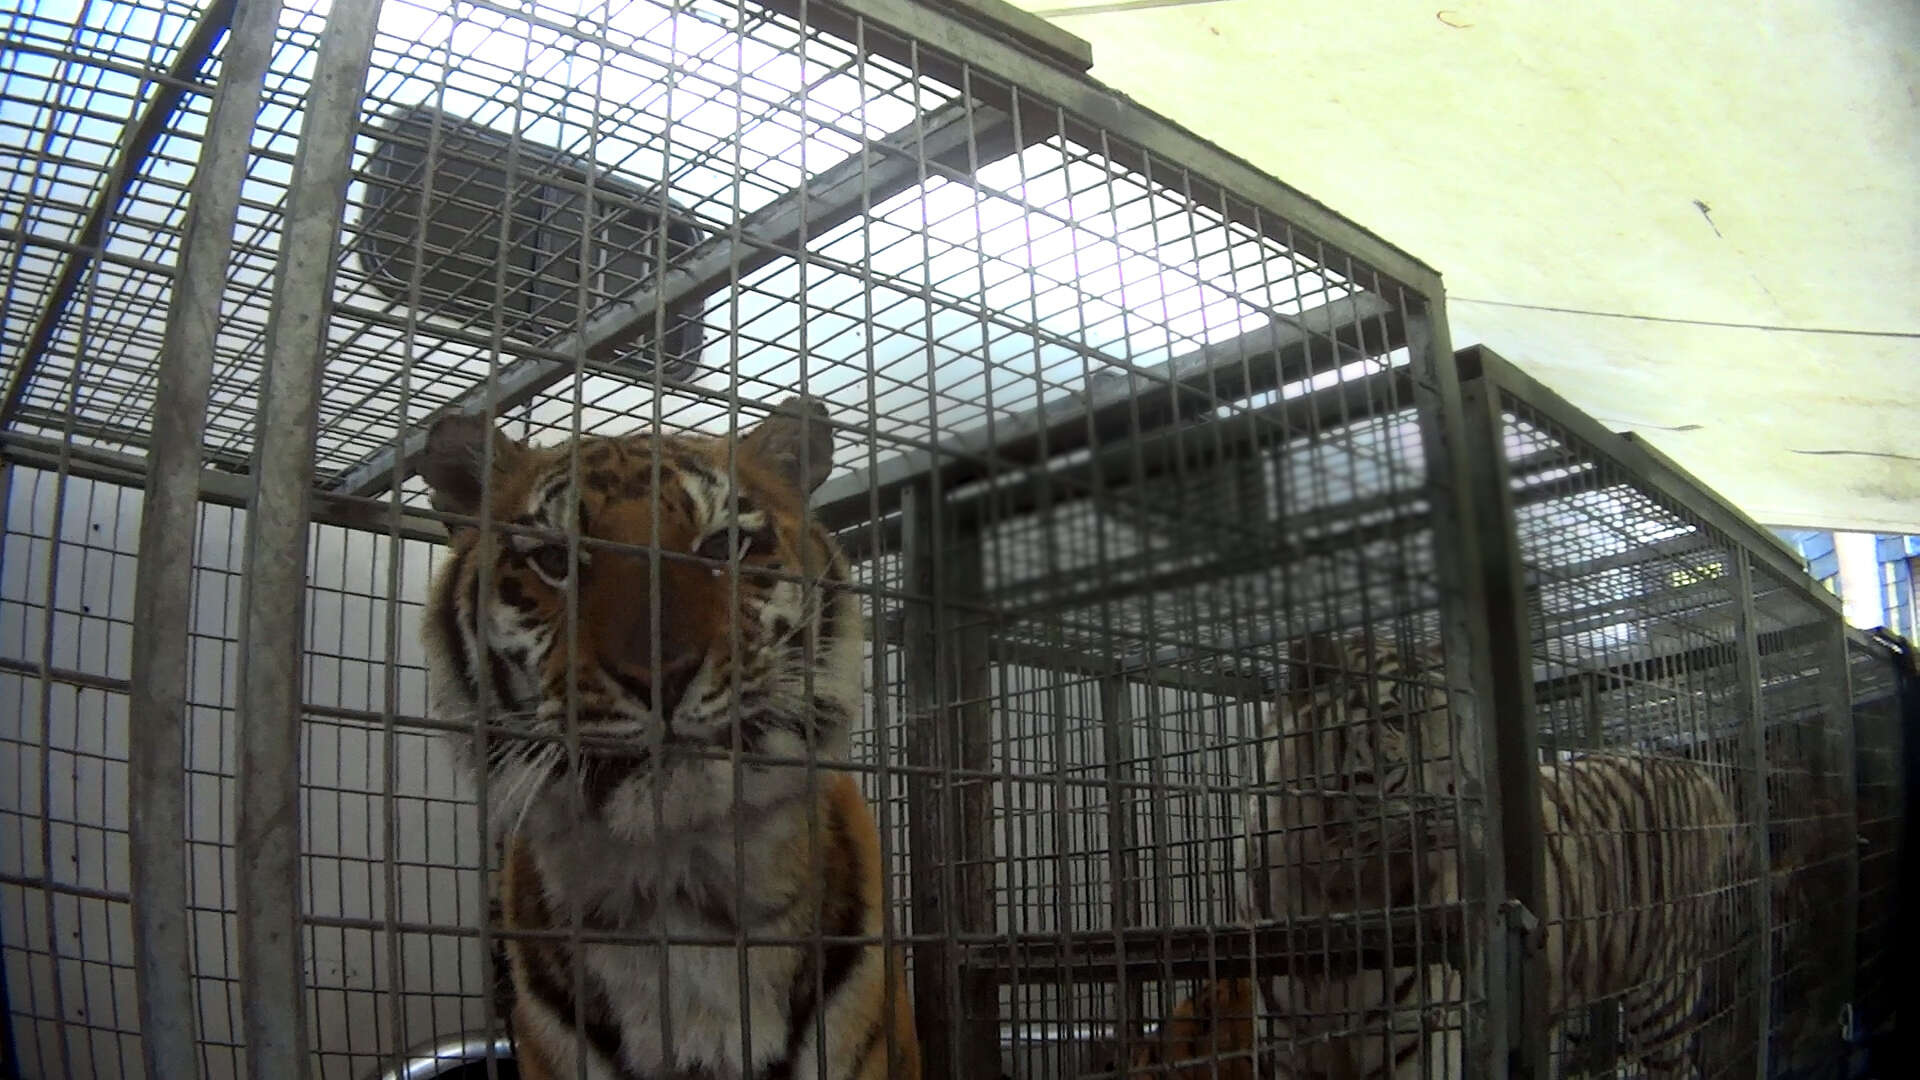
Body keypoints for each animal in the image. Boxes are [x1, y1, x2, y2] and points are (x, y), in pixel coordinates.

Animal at [1128, 630, 1751, 1076]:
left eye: (1458, 723)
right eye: (1394, 721)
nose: (1469, 792)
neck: (1332, 882)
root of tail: (1695, 769)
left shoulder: (1418, 1047)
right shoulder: (1286, 1048)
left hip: (1665, 989)